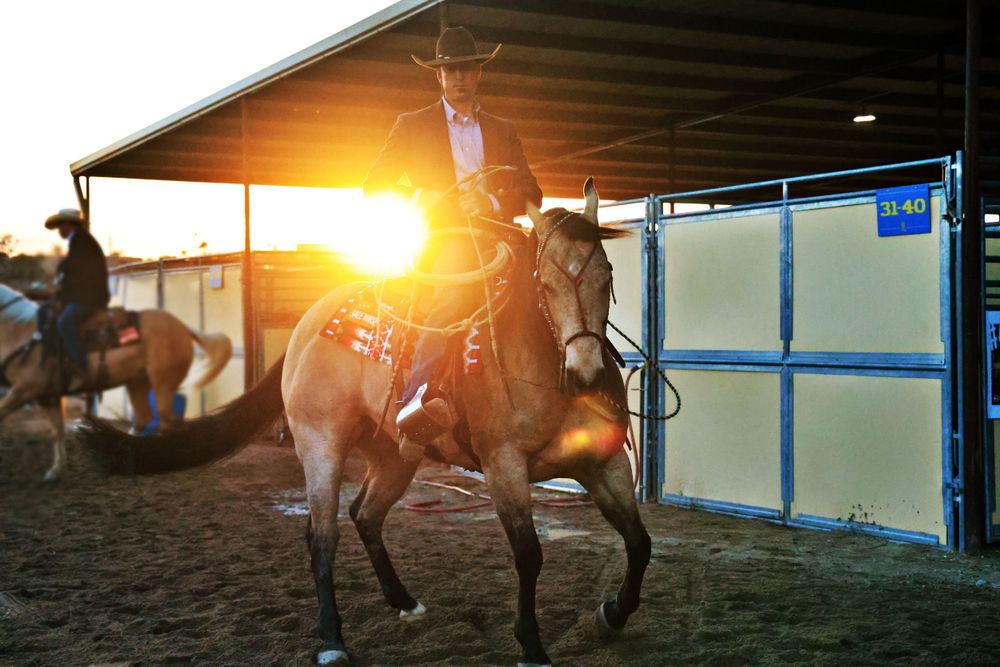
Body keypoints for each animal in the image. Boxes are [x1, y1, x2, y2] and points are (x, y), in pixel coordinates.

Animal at [0, 283, 233, 481]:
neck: (24, 335)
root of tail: (183, 327)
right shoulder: (47, 396)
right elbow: (57, 431)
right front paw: (56, 471)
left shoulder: (24, 390)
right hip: (138, 382)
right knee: (144, 418)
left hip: (162, 384)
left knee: (166, 421)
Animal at [80, 178, 651, 667]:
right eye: (545, 282)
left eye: (606, 276)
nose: (585, 372)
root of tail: (306, 326)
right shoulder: (503, 465)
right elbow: (529, 554)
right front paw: (531, 645)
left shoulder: (605, 463)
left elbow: (639, 542)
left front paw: (610, 615)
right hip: (321, 446)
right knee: (323, 534)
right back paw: (333, 640)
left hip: (393, 455)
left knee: (365, 514)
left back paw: (404, 602)